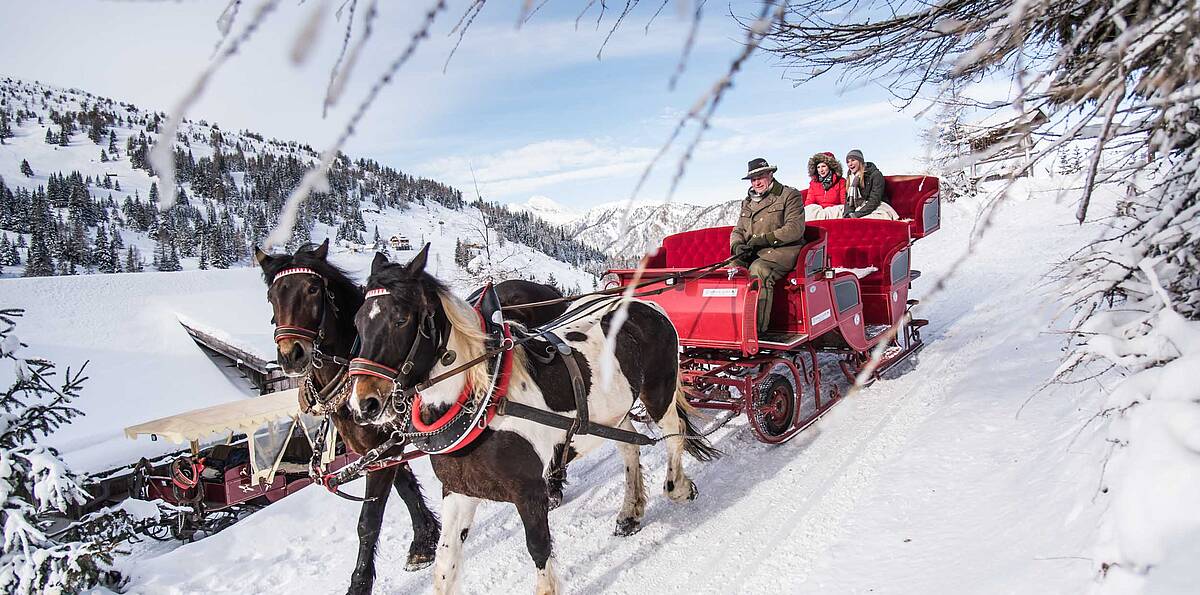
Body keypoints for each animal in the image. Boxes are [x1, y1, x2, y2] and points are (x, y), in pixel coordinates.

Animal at [350, 243, 720, 592]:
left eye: (400, 319)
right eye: (357, 322)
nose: (364, 403)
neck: (483, 401)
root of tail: (644, 304)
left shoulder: (528, 490)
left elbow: (539, 548)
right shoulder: (457, 491)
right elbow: (445, 567)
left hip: (658, 391)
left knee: (674, 434)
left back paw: (678, 487)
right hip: (612, 413)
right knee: (630, 447)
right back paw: (630, 512)